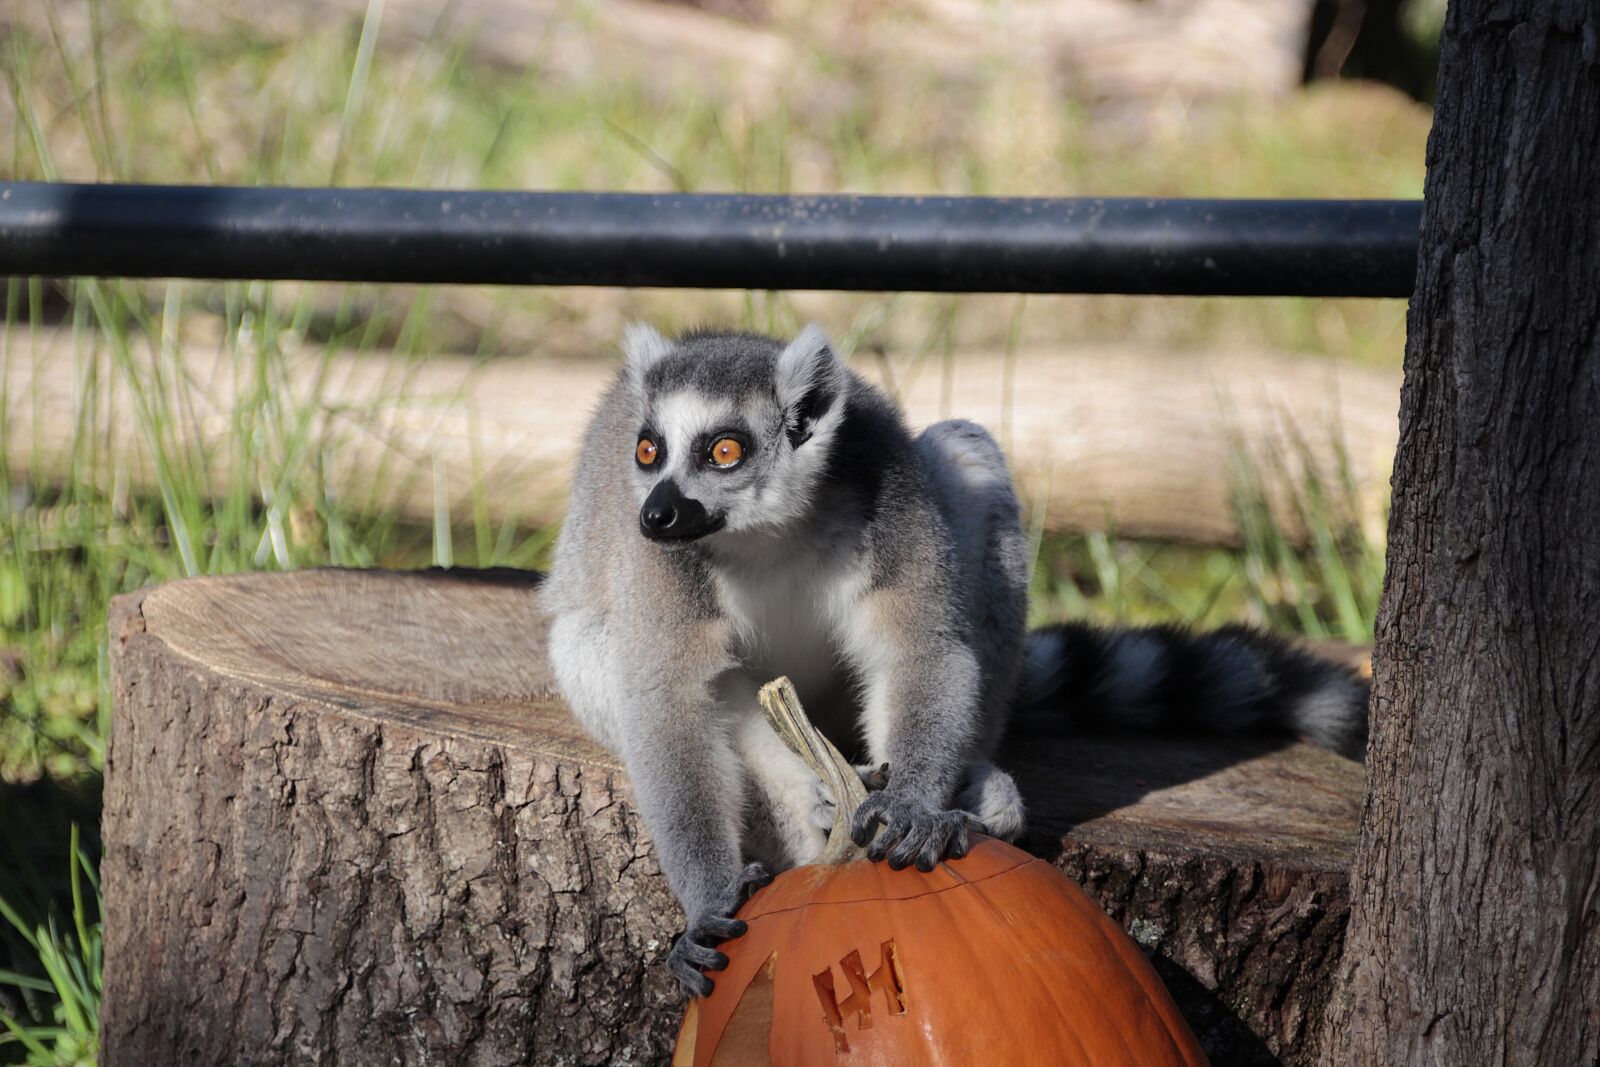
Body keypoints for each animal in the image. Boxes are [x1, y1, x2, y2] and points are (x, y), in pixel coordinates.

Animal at [538, 324, 1368, 996]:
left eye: (724, 450)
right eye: (649, 450)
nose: (656, 512)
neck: (762, 536)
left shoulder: (884, 490)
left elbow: (924, 646)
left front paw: (911, 803)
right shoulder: (662, 567)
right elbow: (667, 702)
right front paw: (710, 898)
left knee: (970, 455)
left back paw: (970, 791)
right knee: (608, 653)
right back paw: (810, 807)